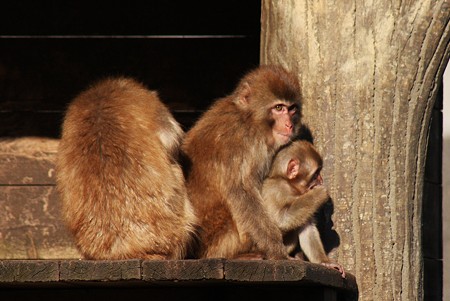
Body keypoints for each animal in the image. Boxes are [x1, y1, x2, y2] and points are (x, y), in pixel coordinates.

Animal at [183, 65, 302, 258]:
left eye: (292, 109)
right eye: (278, 108)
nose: (289, 125)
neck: (248, 119)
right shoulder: (239, 142)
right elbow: (241, 191)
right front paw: (276, 249)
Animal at [260, 140, 344, 276]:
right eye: (315, 174)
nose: (321, 180)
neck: (290, 186)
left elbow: (307, 228)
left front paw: (325, 262)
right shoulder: (277, 189)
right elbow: (279, 220)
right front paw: (319, 194)